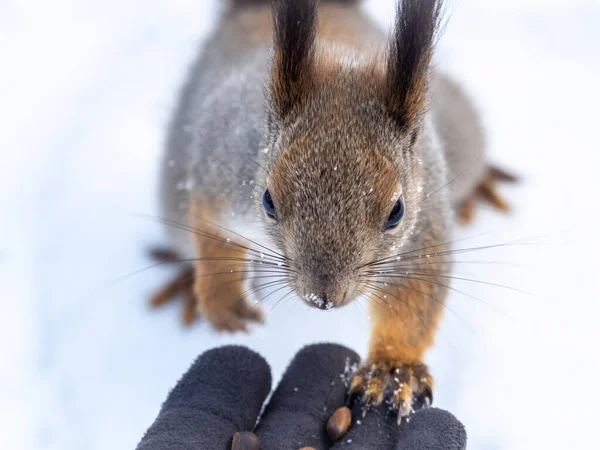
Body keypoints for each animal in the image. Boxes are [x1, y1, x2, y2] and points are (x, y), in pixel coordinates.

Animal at [149, 0, 516, 422]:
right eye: (268, 200)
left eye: (397, 210)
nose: (323, 298)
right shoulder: (221, 176)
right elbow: (210, 231)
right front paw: (225, 299)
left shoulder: (422, 230)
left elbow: (415, 294)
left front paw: (393, 371)